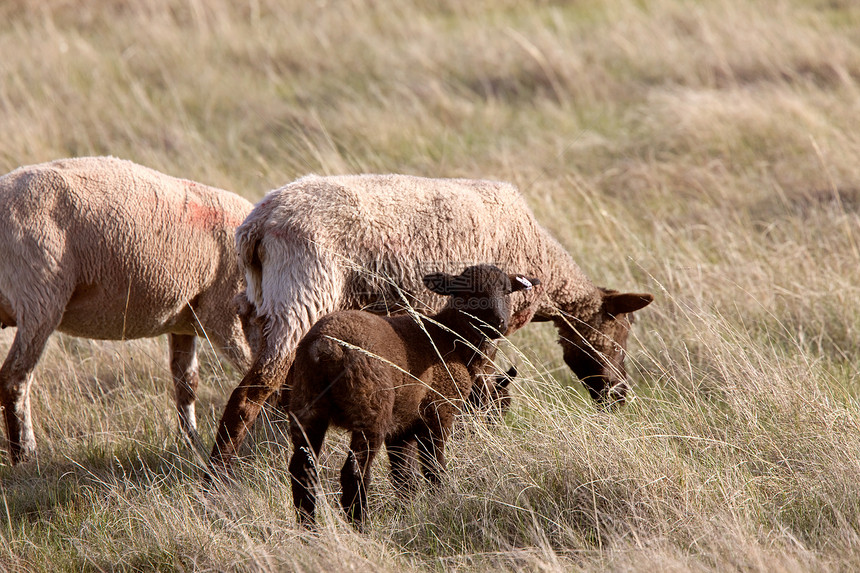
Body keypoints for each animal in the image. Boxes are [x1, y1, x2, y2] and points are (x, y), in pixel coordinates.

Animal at [0, 156, 255, 464]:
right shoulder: (225, 313)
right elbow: (256, 375)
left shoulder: (185, 322)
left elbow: (186, 384)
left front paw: (192, 444)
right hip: (40, 296)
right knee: (15, 379)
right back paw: (25, 457)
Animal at [208, 173, 652, 470]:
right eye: (621, 333)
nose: (620, 397)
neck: (544, 269)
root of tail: (256, 228)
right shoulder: (487, 329)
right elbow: (480, 387)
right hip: (301, 298)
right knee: (249, 396)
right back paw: (218, 477)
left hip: (258, 309)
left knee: (278, 399)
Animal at [288, 264, 536, 528]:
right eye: (468, 292)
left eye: (508, 291)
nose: (497, 323)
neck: (449, 338)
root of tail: (324, 347)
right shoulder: (438, 412)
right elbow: (433, 469)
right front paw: (441, 502)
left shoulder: (402, 427)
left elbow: (404, 479)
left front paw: (407, 513)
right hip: (370, 410)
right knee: (354, 472)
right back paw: (361, 526)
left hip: (307, 406)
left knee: (302, 471)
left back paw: (309, 529)